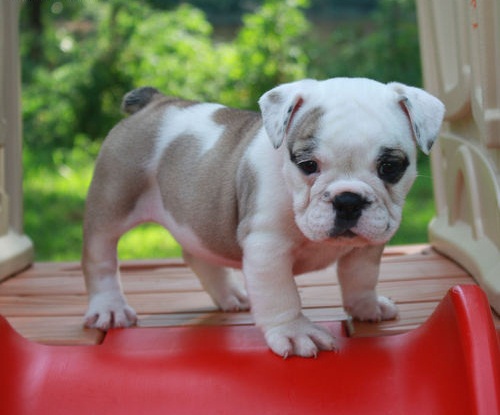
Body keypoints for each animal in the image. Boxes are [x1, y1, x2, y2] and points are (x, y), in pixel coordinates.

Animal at [82, 78, 445, 357]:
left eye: (390, 167)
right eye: (307, 164)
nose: (348, 199)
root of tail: (155, 102)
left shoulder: (367, 244)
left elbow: (361, 277)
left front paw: (366, 307)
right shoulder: (267, 248)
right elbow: (281, 293)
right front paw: (295, 332)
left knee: (198, 254)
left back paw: (231, 295)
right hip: (112, 201)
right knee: (100, 256)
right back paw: (109, 308)